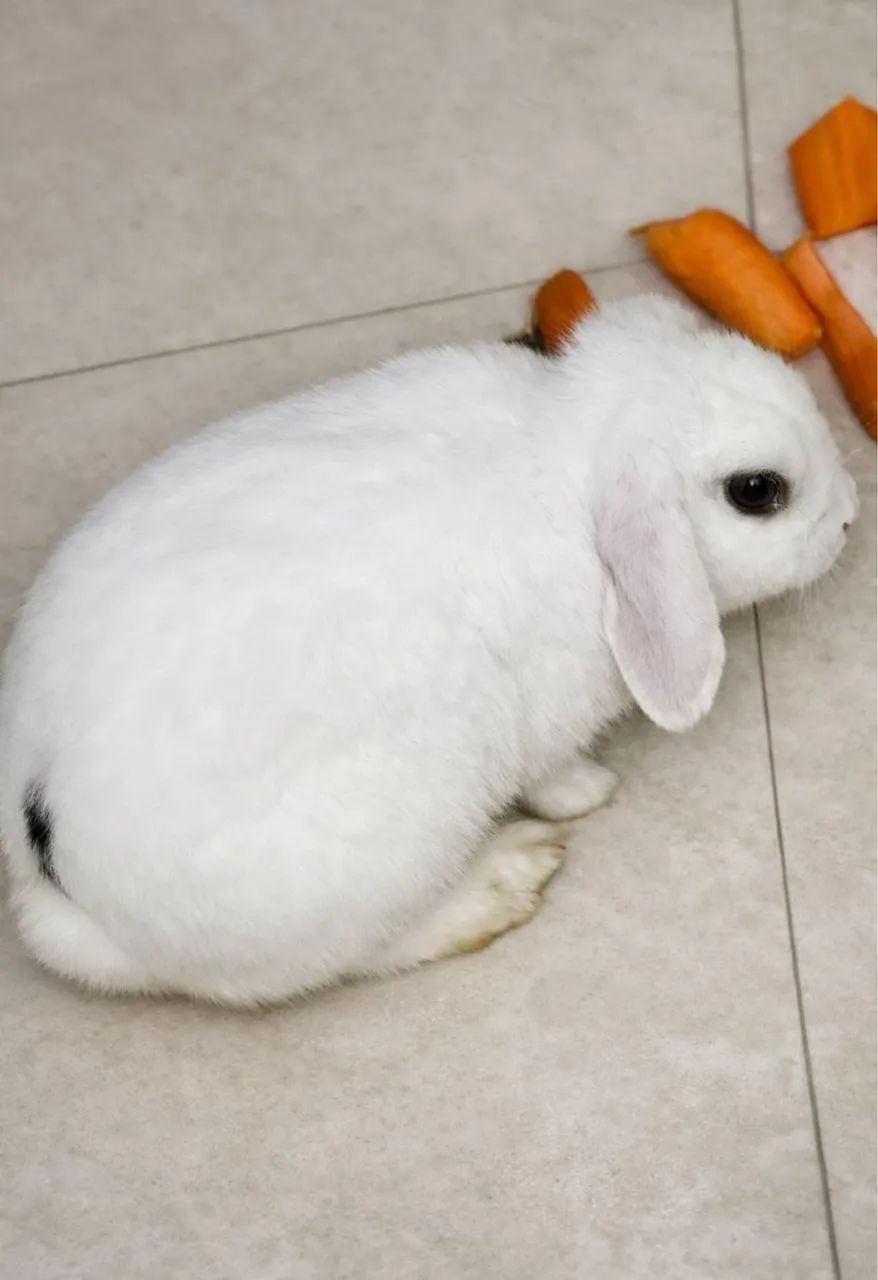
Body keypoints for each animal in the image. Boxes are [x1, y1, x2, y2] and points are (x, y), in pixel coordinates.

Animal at [0, 296, 858, 1006]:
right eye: (757, 491)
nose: (851, 516)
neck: (571, 460)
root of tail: (52, 866)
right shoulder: (547, 719)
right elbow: (553, 773)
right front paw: (592, 793)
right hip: (388, 851)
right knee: (354, 958)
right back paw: (504, 881)